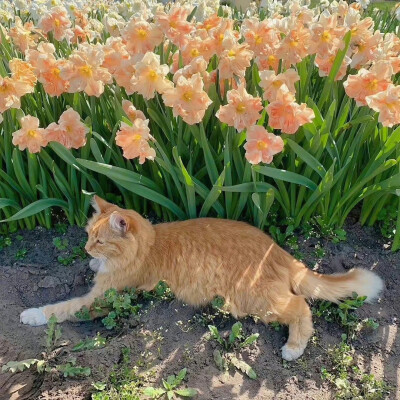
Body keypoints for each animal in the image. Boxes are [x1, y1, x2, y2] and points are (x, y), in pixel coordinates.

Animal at [20, 195, 382, 360]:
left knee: (301, 307)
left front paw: (33, 314)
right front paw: (94, 266)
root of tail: (277, 249)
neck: (150, 243)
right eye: (88, 236)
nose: (85, 248)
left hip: (255, 302)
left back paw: (293, 347)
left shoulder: (101, 298)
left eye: (99, 240)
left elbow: (62, 308)